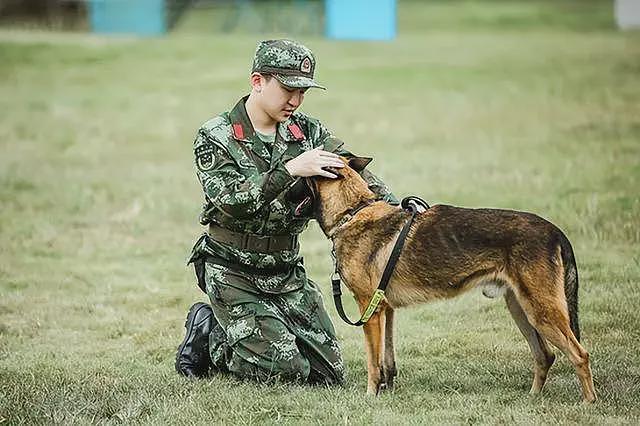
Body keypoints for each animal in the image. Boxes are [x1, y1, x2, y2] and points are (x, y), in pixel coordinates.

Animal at [312, 159, 596, 402]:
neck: (353, 211)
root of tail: (556, 232)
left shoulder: (369, 311)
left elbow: (373, 362)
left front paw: (371, 395)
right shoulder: (385, 309)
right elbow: (386, 359)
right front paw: (386, 388)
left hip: (541, 312)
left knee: (580, 354)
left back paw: (588, 402)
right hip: (522, 310)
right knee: (545, 355)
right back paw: (533, 396)